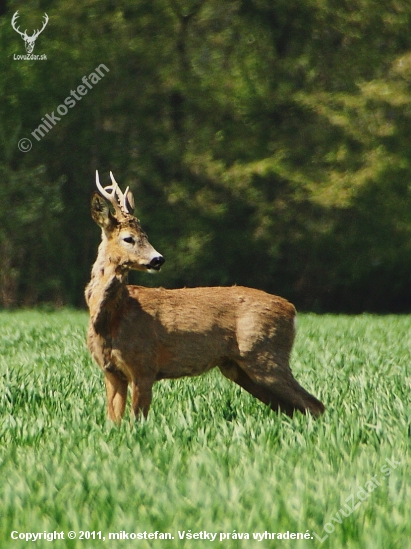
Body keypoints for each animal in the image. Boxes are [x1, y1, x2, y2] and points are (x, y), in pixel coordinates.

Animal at [86, 173, 326, 422]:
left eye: (146, 235)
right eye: (128, 238)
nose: (158, 259)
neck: (113, 318)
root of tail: (292, 310)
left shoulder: (144, 364)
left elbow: (138, 419)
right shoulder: (111, 371)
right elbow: (114, 421)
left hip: (266, 355)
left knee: (314, 405)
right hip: (239, 368)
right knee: (291, 408)